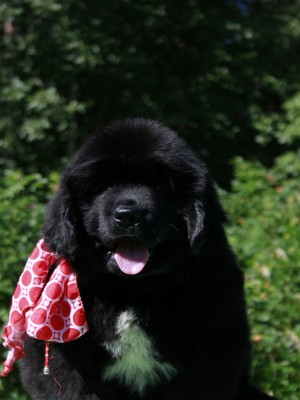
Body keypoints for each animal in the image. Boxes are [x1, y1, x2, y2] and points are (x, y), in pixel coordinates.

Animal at [19, 119, 276, 400]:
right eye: (100, 188)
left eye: (161, 187)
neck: (133, 292)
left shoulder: (212, 350)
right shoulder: (65, 363)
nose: (127, 215)